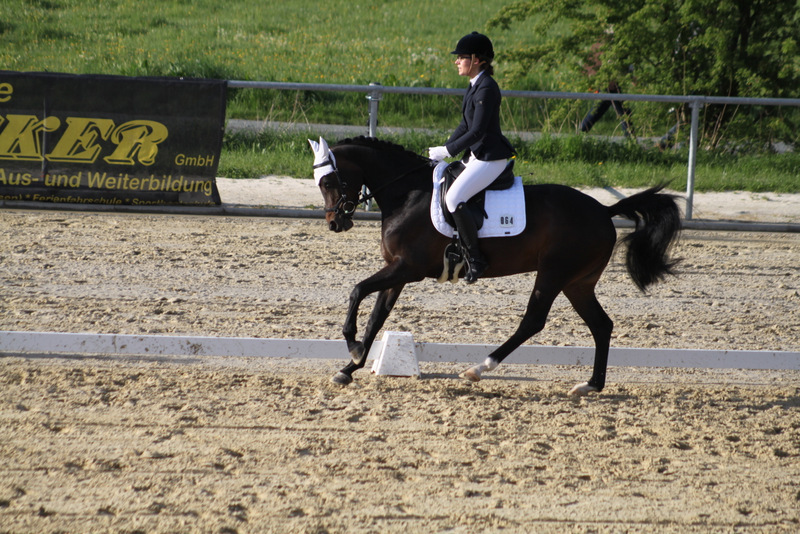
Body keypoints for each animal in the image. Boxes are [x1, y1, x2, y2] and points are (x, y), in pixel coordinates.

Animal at [308, 136, 681, 395]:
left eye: (328, 182)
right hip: (578, 282)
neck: (406, 194)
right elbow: (376, 317)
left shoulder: (408, 268)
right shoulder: (397, 272)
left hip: (554, 273)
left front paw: (353, 348)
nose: (335, 223)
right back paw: (590, 385)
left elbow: (357, 290)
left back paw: (478, 369)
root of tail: (604, 210)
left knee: (533, 321)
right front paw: (349, 367)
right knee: (601, 325)